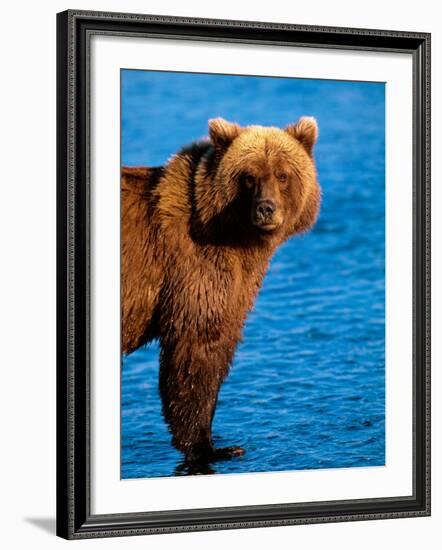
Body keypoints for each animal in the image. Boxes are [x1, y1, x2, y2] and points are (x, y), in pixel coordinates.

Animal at [121, 116, 322, 466]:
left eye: (282, 174)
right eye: (249, 177)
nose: (266, 208)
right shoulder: (194, 270)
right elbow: (197, 350)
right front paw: (212, 447)